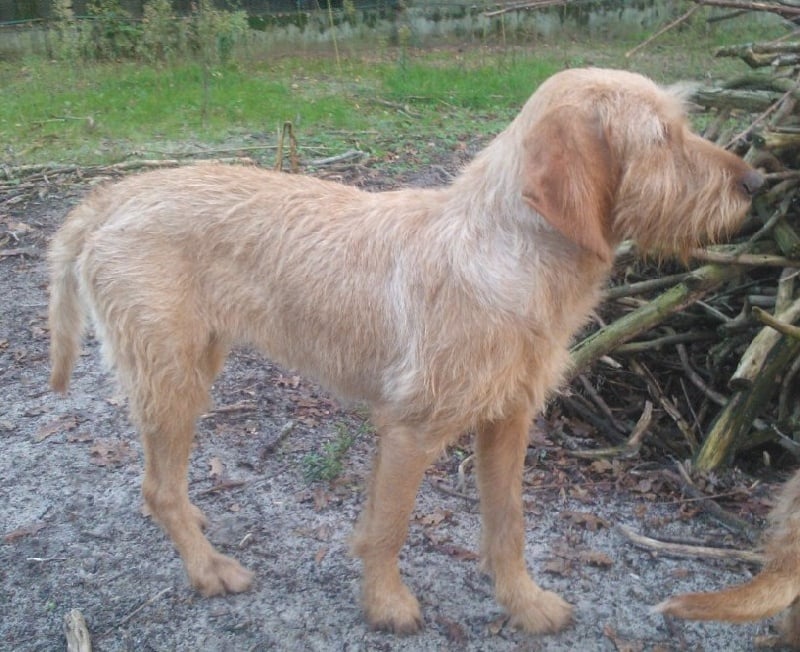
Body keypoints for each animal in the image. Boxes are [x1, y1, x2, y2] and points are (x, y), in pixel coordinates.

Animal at [48, 69, 764, 636]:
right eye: (662, 137)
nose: (754, 180)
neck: (511, 251)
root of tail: (109, 197)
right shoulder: (410, 429)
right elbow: (389, 525)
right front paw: (386, 605)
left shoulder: (509, 421)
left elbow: (508, 524)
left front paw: (524, 605)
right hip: (173, 377)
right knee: (156, 487)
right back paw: (207, 569)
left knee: (167, 482)